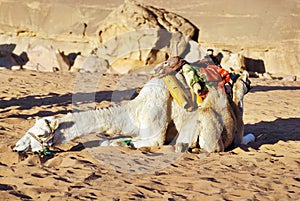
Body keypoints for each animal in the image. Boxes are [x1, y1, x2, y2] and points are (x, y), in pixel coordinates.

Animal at [13, 57, 253, 153]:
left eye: (40, 133)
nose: (17, 146)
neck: (134, 111)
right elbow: (107, 140)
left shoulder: (155, 132)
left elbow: (149, 142)